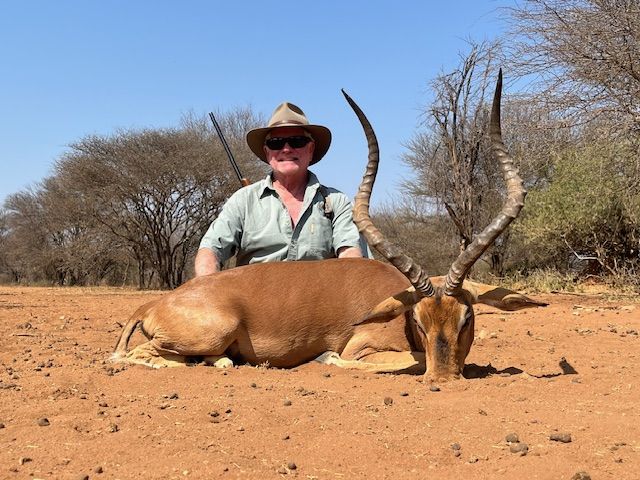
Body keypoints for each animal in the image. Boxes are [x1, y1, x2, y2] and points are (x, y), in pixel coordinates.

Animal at [112, 71, 547, 382]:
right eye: (419, 321)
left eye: (466, 319)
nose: (443, 379)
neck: (394, 299)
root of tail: (153, 303)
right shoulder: (363, 348)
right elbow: (397, 361)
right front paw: (327, 358)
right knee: (133, 356)